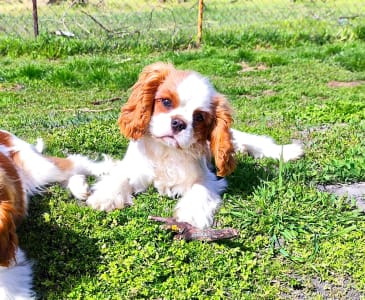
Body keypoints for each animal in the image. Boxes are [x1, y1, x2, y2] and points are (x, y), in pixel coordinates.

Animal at [86, 62, 302, 229]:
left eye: (199, 117)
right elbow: (120, 176)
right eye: (166, 101)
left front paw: (191, 215)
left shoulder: (209, 177)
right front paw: (105, 197)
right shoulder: (134, 166)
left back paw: (289, 151)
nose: (178, 123)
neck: (167, 150)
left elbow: (200, 189)